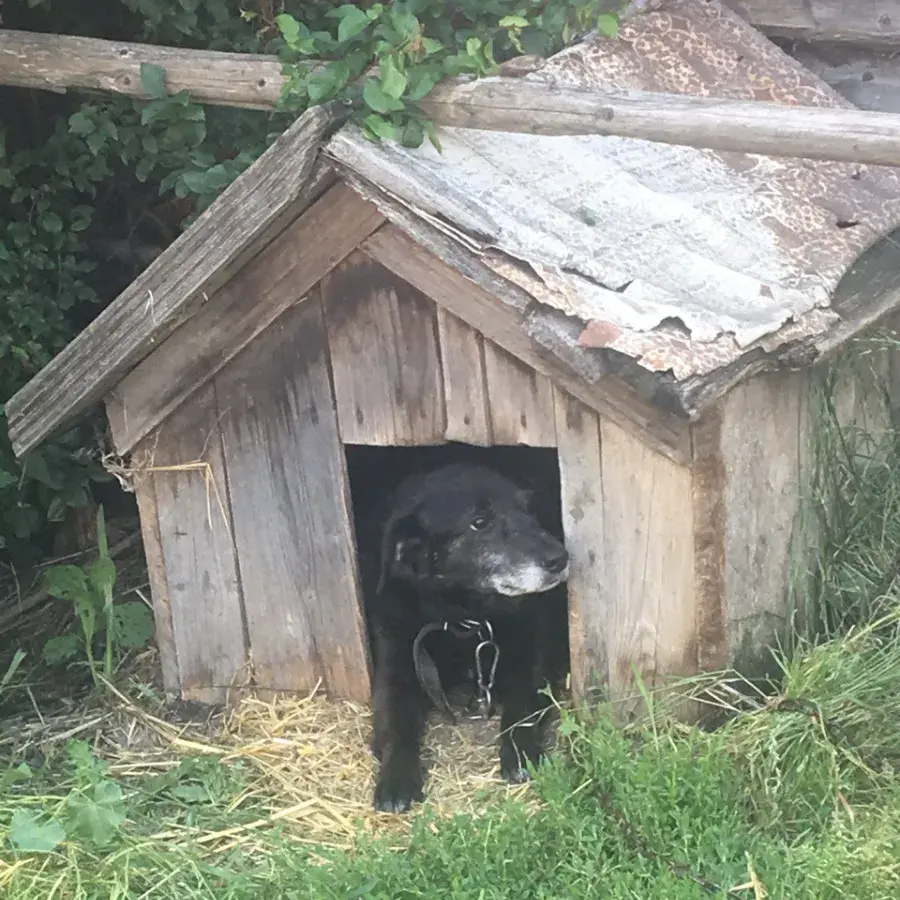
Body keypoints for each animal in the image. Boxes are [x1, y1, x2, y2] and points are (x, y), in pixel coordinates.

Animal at [366, 464, 568, 816]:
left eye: (528, 509)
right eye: (480, 522)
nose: (561, 558)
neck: (463, 619)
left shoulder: (534, 657)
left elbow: (522, 708)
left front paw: (519, 754)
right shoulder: (393, 668)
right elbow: (395, 722)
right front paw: (396, 778)